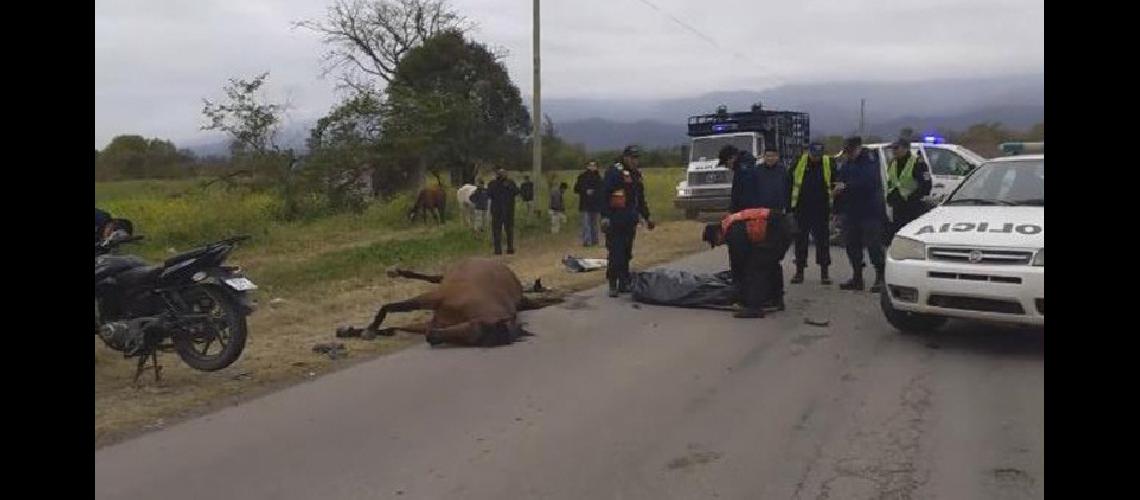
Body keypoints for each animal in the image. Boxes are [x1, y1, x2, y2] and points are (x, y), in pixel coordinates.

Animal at [335, 258, 563, 348]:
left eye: (475, 342)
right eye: (476, 326)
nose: (432, 338)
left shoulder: (429, 324)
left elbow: (394, 328)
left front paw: (353, 331)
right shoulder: (432, 298)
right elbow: (391, 307)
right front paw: (368, 330)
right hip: (443, 281)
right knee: (432, 278)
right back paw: (396, 271)